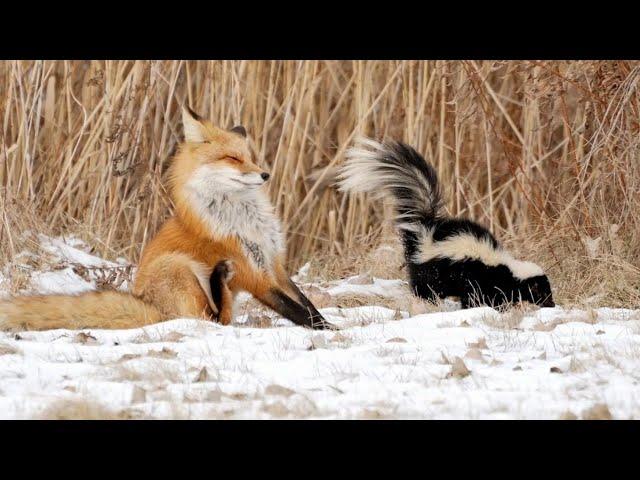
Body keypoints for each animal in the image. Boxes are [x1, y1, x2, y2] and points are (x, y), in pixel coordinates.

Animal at [0, 106, 330, 330]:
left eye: (250, 158)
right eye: (233, 159)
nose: (265, 175)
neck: (245, 219)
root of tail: (151, 309)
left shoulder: (273, 265)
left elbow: (307, 304)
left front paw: (327, 325)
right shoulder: (255, 275)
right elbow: (297, 312)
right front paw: (330, 331)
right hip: (178, 267)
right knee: (213, 320)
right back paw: (217, 279)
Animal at [338, 139, 552, 310]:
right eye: (542, 292)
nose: (552, 303)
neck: (507, 268)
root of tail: (426, 230)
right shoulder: (480, 278)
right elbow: (478, 296)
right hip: (432, 270)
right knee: (425, 287)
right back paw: (427, 301)